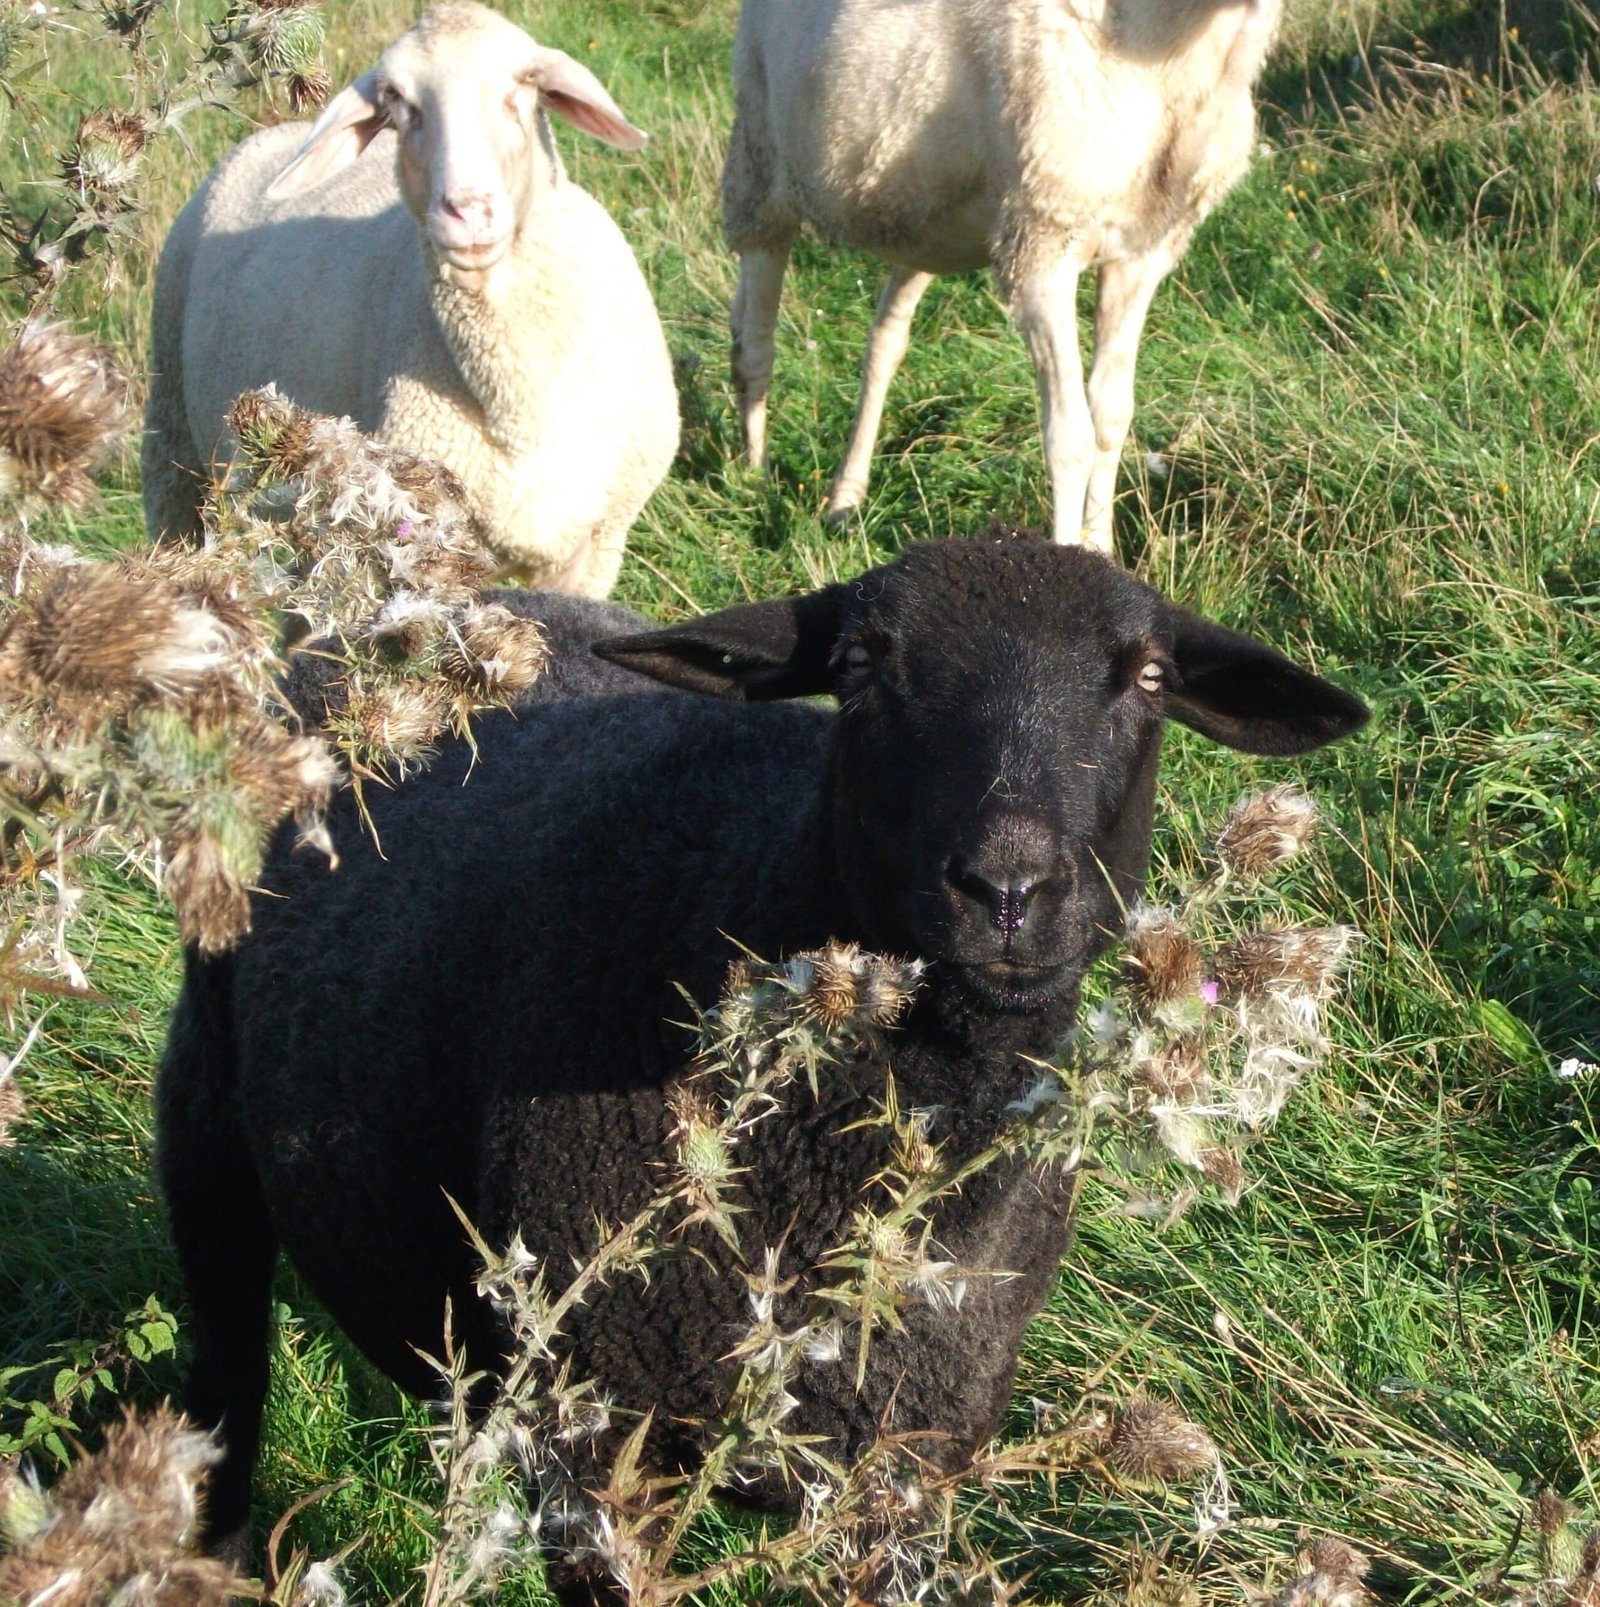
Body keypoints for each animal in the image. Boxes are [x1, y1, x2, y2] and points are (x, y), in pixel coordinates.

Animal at [142, 3, 679, 598]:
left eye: (524, 83)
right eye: (398, 99)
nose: (467, 210)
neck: (521, 408)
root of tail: (279, 131)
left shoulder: (596, 549)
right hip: (175, 452)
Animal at [155, 535, 1366, 1602]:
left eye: (1148, 675)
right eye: (861, 666)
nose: (1008, 889)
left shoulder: (903, 1470)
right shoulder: (596, 1449)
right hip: (206, 1114)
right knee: (225, 1374)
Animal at [723, 0, 1283, 548]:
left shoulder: (1141, 254)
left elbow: (1111, 417)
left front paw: (1101, 550)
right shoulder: (1042, 249)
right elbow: (1070, 437)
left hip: (921, 219)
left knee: (883, 341)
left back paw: (845, 497)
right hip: (759, 164)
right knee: (755, 341)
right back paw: (753, 476)